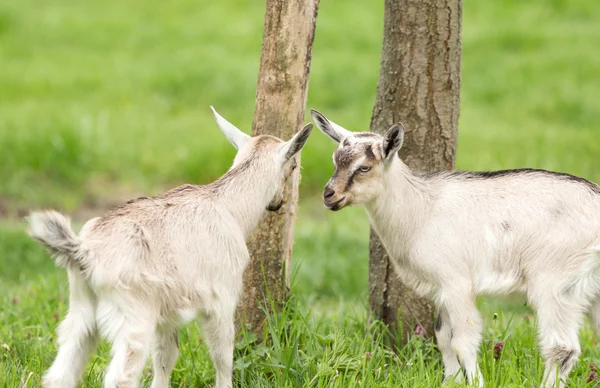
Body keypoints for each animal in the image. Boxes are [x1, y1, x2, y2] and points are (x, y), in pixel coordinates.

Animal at [28, 107, 314, 388]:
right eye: (294, 166)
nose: (277, 203)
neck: (228, 206)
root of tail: (85, 252)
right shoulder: (222, 298)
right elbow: (223, 356)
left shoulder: (167, 313)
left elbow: (165, 357)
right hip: (133, 316)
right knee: (120, 376)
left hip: (81, 312)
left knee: (60, 372)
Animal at [312, 109, 600, 388]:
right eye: (335, 159)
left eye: (364, 167)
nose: (329, 195)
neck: (420, 208)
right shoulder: (440, 289)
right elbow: (443, 338)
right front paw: (450, 381)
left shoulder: (456, 284)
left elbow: (462, 342)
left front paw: (475, 383)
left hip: (555, 283)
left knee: (562, 348)